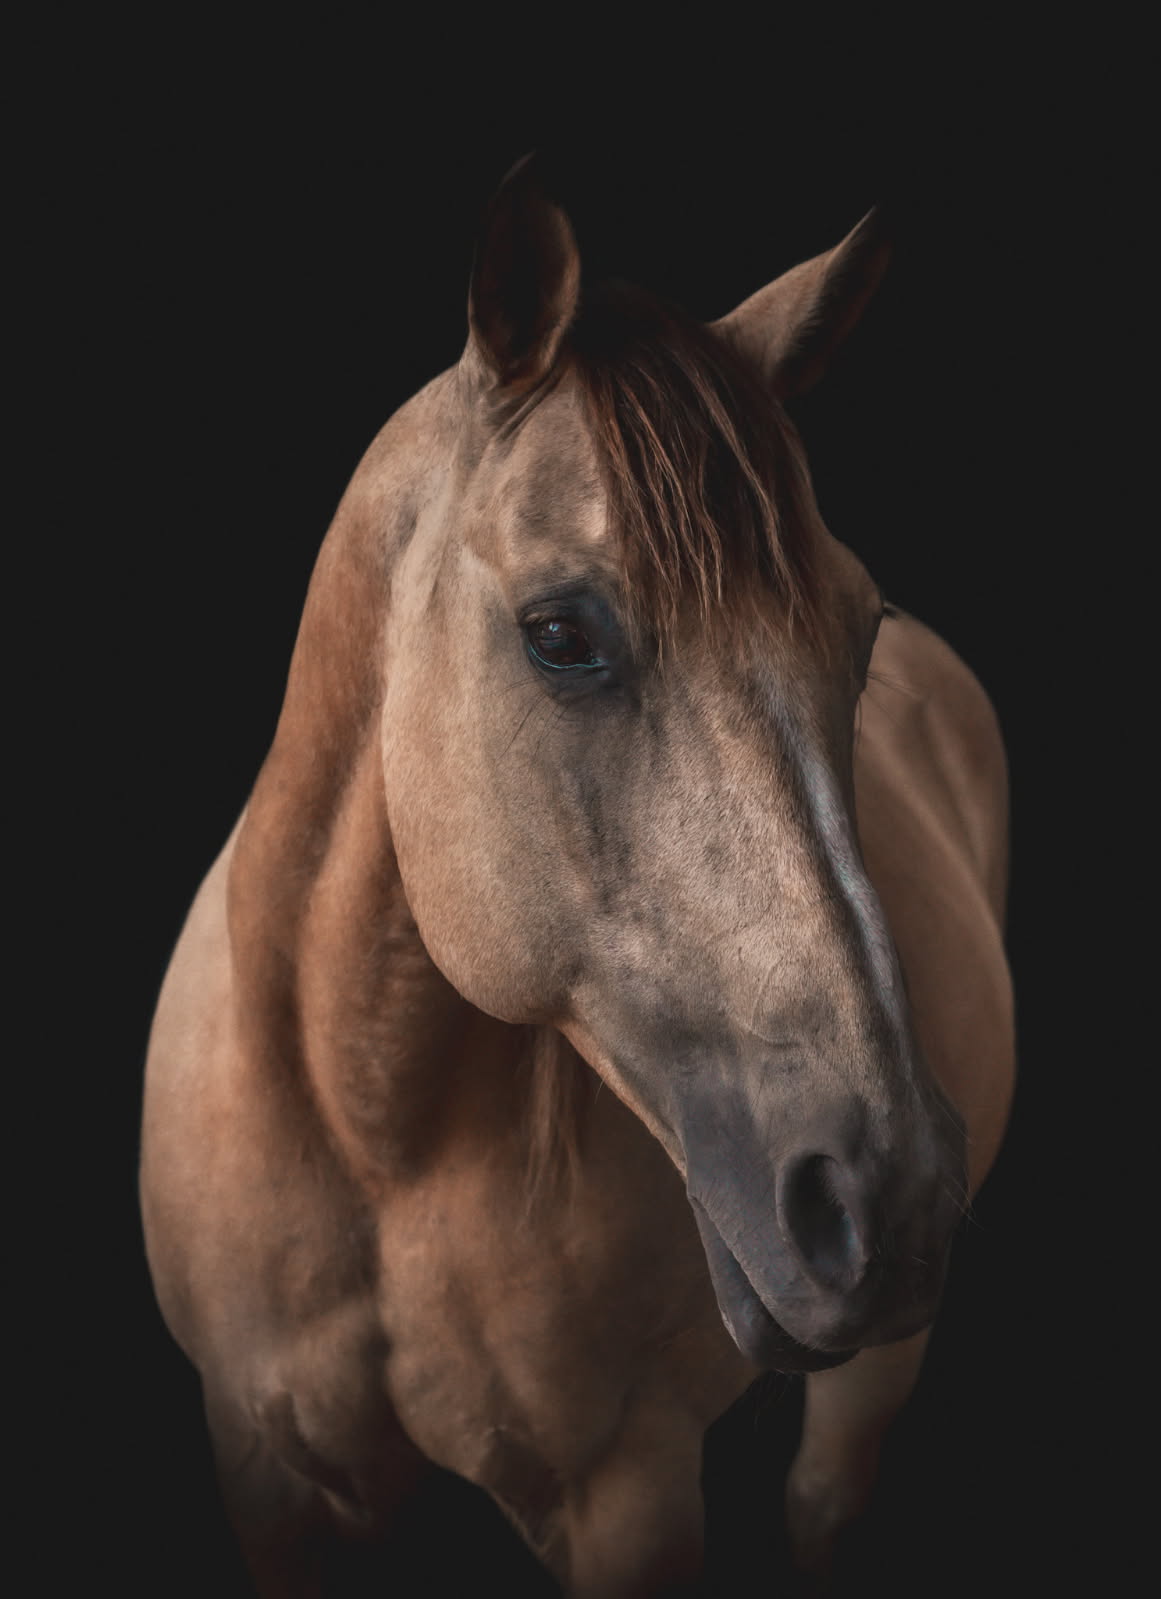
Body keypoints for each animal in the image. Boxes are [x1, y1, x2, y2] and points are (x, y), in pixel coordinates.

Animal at [140, 155, 1015, 1596]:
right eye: (560, 635)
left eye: (859, 629)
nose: (884, 1197)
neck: (372, 1139)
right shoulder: (261, 1471)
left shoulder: (630, 1492)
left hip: (869, 1382)